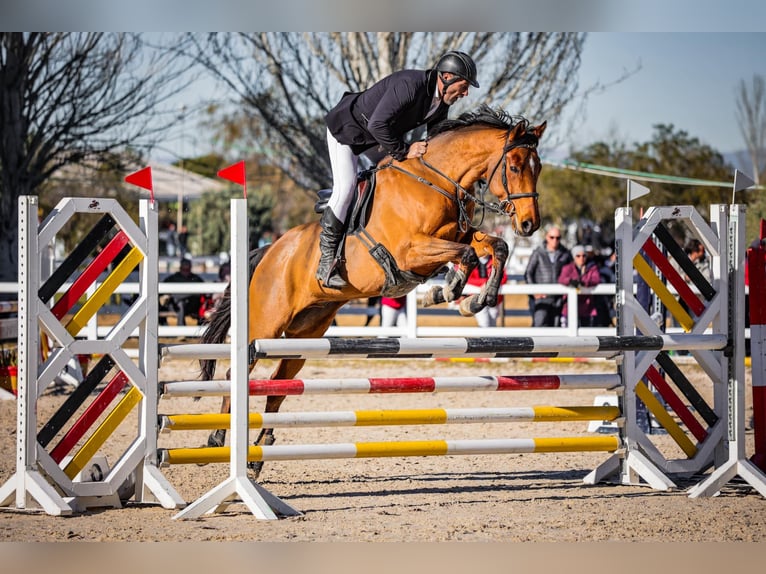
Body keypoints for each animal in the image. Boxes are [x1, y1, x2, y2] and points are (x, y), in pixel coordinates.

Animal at [198, 106, 544, 480]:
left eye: (538, 167)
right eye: (514, 166)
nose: (530, 225)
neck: (435, 182)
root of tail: (269, 250)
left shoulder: (458, 235)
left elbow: (494, 247)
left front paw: (472, 299)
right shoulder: (410, 251)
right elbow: (466, 256)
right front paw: (447, 293)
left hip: (305, 335)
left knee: (278, 386)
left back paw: (257, 457)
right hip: (265, 327)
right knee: (236, 374)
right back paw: (216, 440)